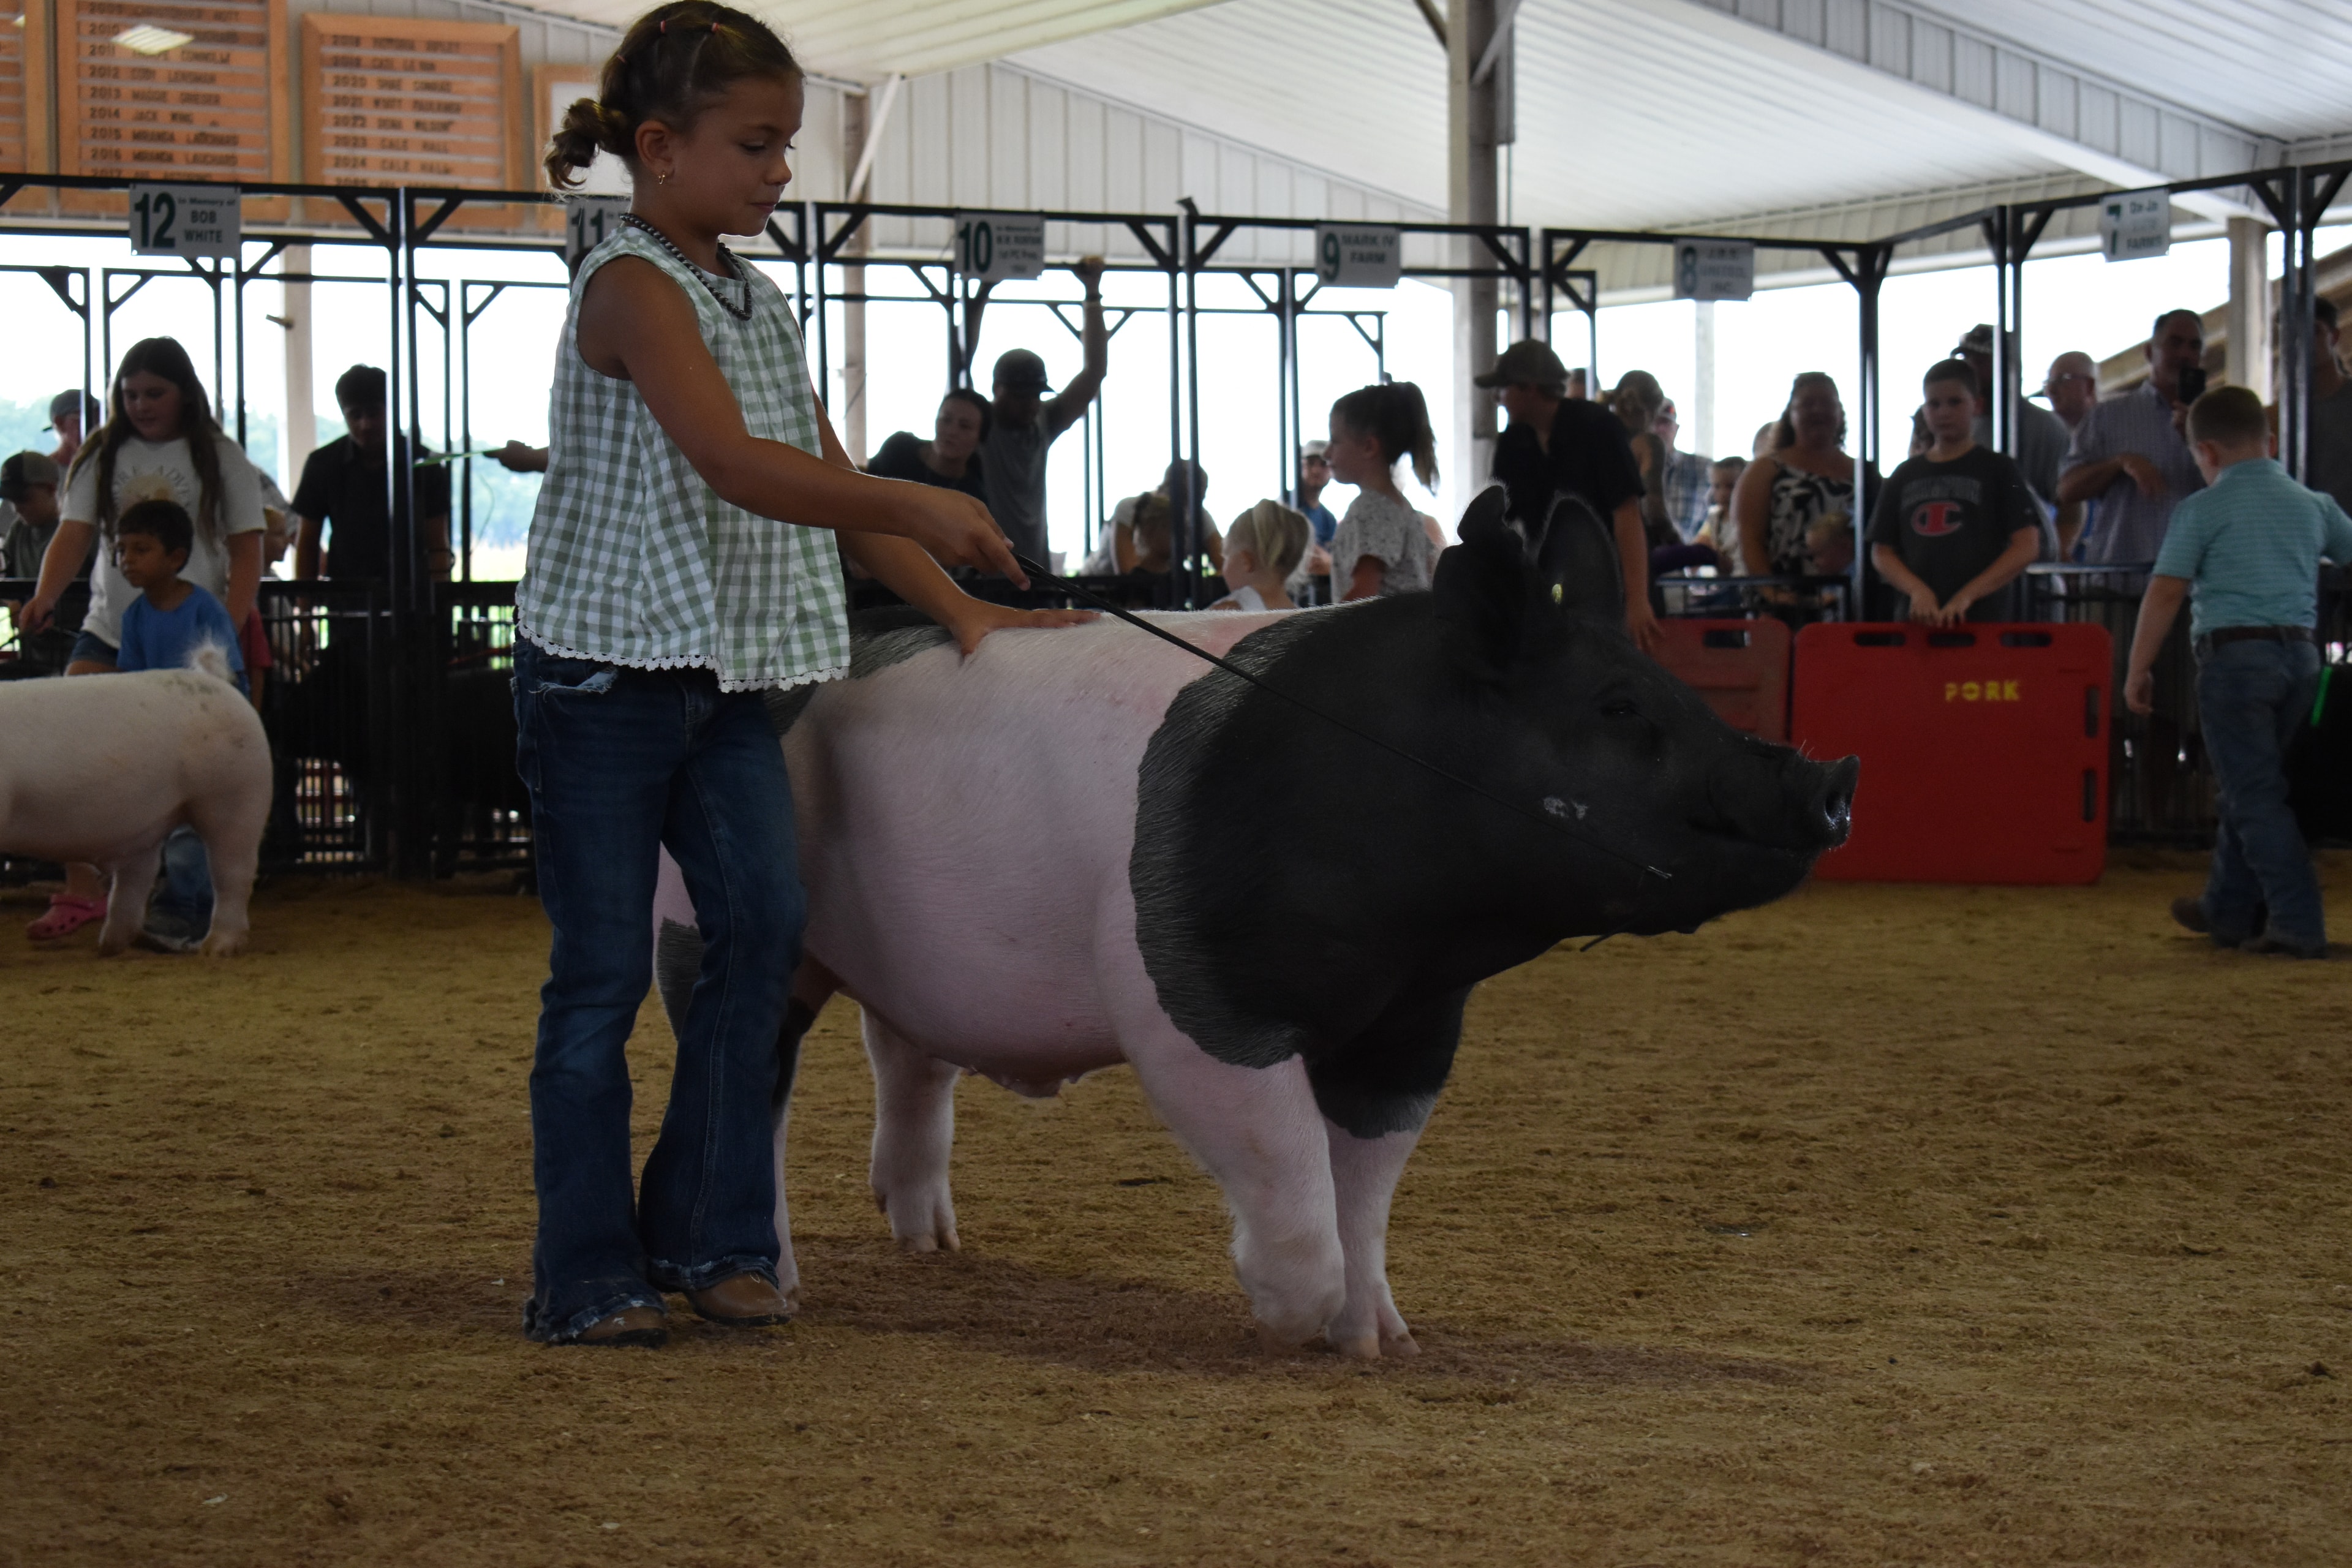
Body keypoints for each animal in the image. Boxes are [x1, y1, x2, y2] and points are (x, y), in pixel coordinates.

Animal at [0, 660, 272, 956]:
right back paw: (110, 945)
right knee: (140, 873)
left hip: (236, 795)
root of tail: (217, 681)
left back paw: (216, 949)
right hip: (146, 826)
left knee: (233, 873)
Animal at [651, 491, 1856, 1355]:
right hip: (706, 918)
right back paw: (779, 1288)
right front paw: (1287, 1320)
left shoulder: (1415, 1022)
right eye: (1617, 708)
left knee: (905, 1056)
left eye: (1673, 687)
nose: (1831, 777)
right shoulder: (1192, 994)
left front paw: (1383, 1342)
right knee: (754, 1082)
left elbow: (1364, 1183)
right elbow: (1286, 1162)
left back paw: (933, 1248)